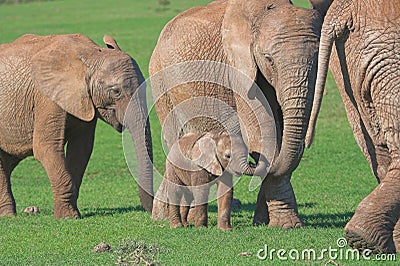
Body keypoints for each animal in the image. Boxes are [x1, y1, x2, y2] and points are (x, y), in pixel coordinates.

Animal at [0, 33, 153, 218]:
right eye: (116, 91)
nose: (150, 212)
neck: (91, 55)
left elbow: (81, 149)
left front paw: (70, 213)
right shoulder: (47, 97)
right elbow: (46, 147)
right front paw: (68, 216)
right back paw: (8, 215)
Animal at [148, 0, 330, 229]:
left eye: (318, 61)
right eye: (269, 59)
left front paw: (267, 221)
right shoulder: (239, 68)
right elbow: (260, 132)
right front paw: (287, 225)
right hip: (161, 82)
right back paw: (166, 219)